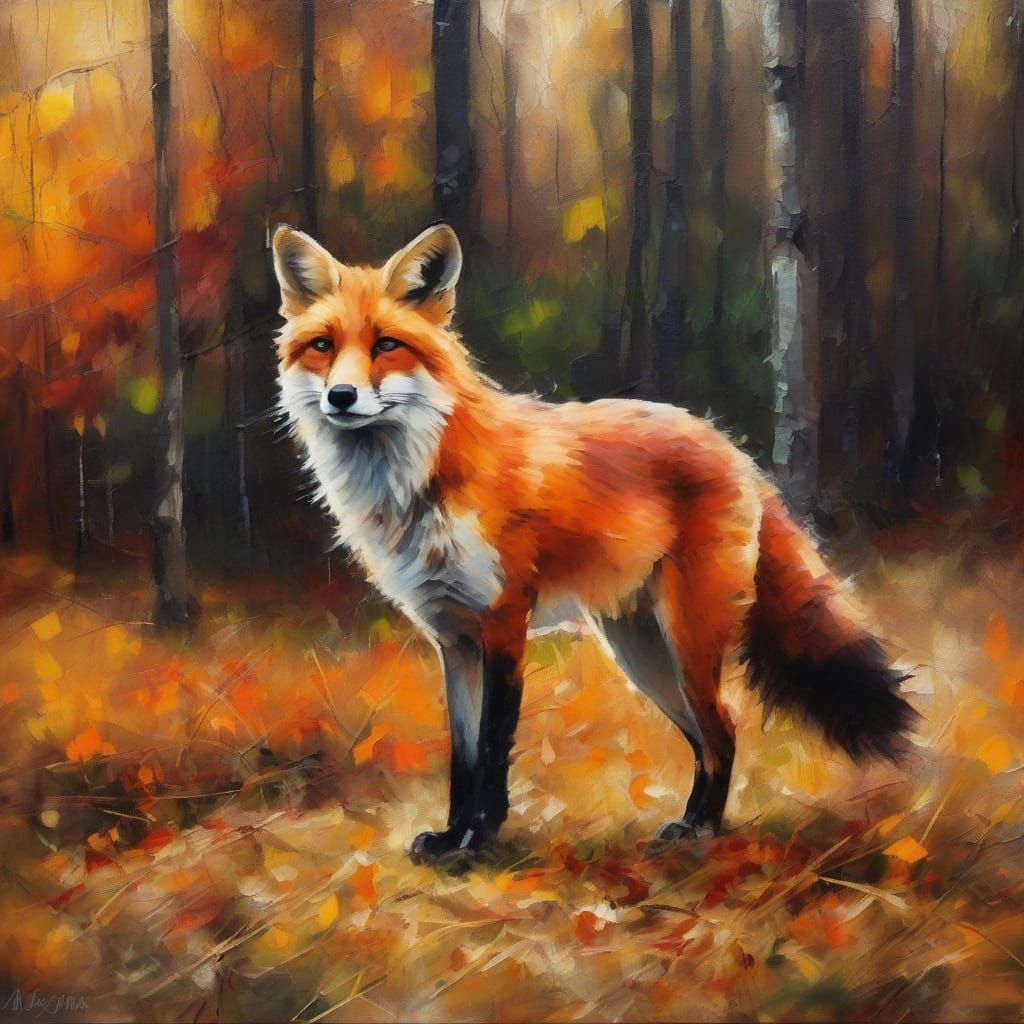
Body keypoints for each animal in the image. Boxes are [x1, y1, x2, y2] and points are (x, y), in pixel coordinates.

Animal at [272, 221, 918, 862]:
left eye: (386, 345)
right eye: (323, 346)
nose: (341, 397)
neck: (422, 483)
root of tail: (730, 445)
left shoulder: (503, 625)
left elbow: (493, 751)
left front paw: (479, 840)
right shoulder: (453, 640)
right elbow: (464, 757)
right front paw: (452, 837)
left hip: (685, 640)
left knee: (725, 728)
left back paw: (702, 834)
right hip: (643, 654)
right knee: (711, 738)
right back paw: (694, 825)